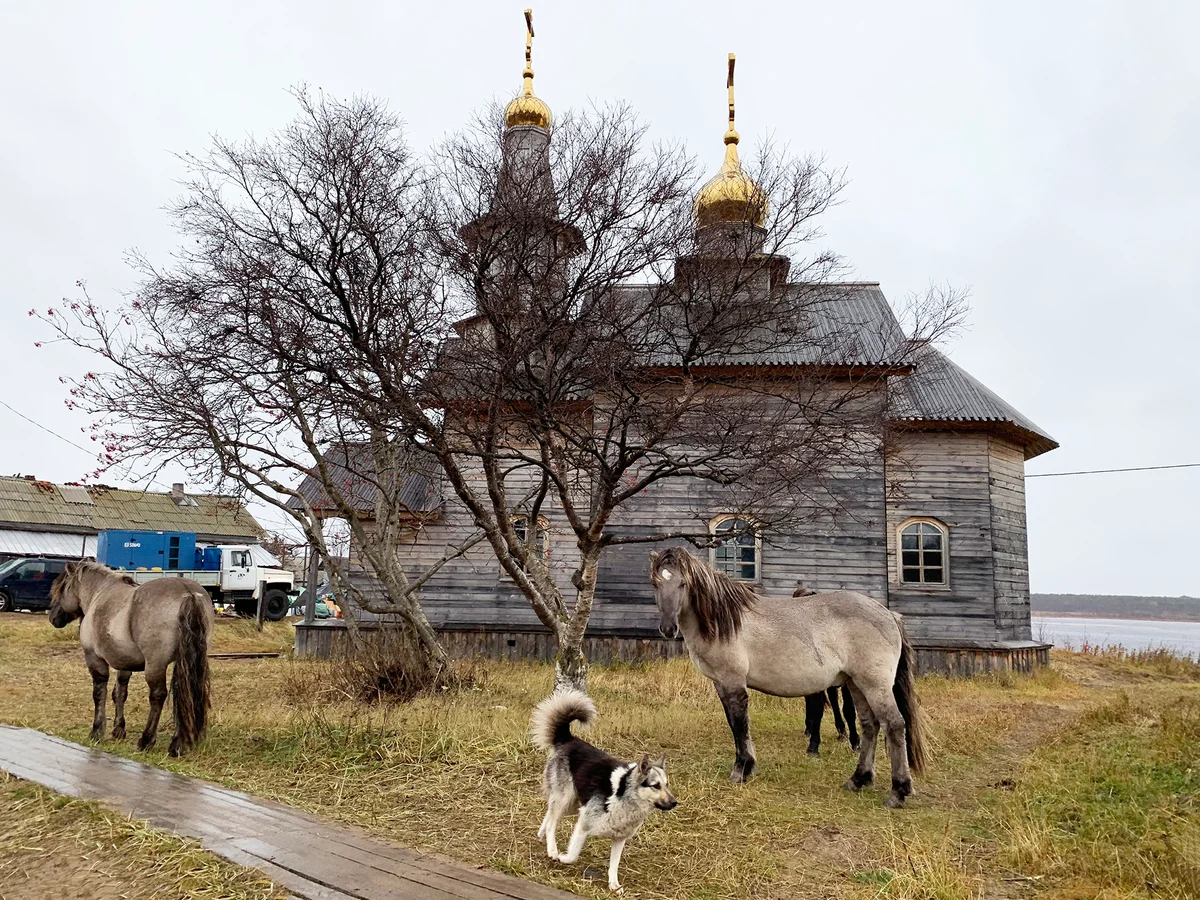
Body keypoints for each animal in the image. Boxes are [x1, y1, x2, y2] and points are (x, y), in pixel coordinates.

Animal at [50, 561, 213, 758]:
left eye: (62, 589)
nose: (53, 617)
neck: (99, 593)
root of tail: (188, 593)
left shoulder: (94, 659)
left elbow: (99, 693)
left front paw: (97, 731)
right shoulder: (124, 662)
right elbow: (119, 693)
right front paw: (118, 730)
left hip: (155, 665)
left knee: (158, 696)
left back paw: (148, 740)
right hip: (186, 662)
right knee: (185, 693)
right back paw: (179, 742)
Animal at [532, 691, 681, 897]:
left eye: (667, 785)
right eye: (655, 786)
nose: (674, 803)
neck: (625, 797)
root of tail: (571, 739)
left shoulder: (619, 839)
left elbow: (614, 866)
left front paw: (614, 885)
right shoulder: (583, 825)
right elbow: (573, 855)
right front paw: (562, 858)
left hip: (573, 804)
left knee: (549, 813)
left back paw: (541, 835)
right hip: (566, 799)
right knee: (552, 823)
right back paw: (552, 849)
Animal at [657, 547, 926, 816]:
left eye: (683, 583)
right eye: (657, 583)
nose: (668, 628)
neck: (724, 621)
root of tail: (889, 614)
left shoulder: (732, 683)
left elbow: (739, 726)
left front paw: (741, 770)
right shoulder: (721, 684)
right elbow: (736, 726)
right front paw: (748, 767)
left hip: (875, 685)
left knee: (894, 725)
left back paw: (898, 791)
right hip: (856, 684)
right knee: (870, 725)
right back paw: (858, 779)